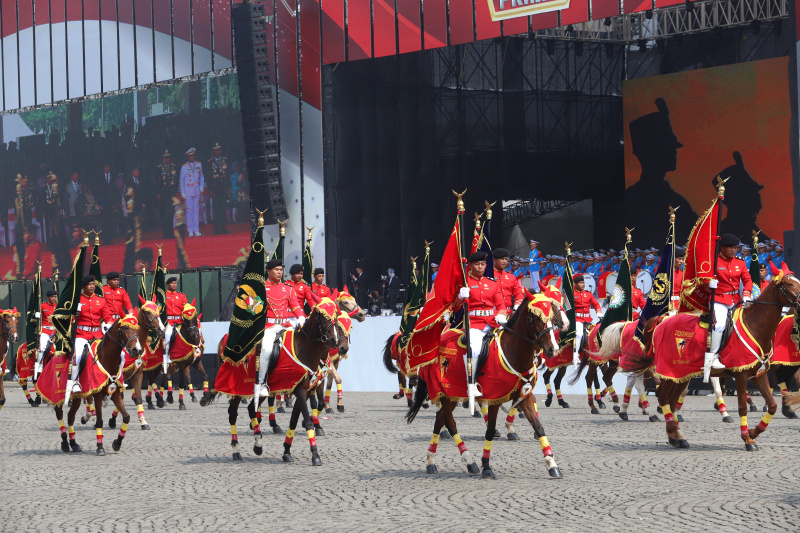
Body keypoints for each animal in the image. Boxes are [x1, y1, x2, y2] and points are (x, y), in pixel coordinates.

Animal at [406, 294, 564, 480]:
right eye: (538, 318)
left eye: (553, 317)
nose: (553, 350)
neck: (514, 352)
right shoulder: (495, 399)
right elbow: (490, 430)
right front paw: (487, 466)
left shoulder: (523, 395)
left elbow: (538, 427)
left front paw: (552, 464)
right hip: (445, 393)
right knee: (450, 423)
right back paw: (469, 460)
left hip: (451, 395)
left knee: (439, 420)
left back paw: (433, 461)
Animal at [628, 270, 796, 448]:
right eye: (789, 284)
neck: (755, 326)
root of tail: (661, 321)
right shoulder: (740, 374)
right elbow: (742, 407)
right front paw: (747, 438)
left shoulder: (758, 374)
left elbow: (772, 405)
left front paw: (753, 432)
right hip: (669, 371)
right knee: (663, 396)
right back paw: (673, 432)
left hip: (680, 375)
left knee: (671, 400)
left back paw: (676, 437)